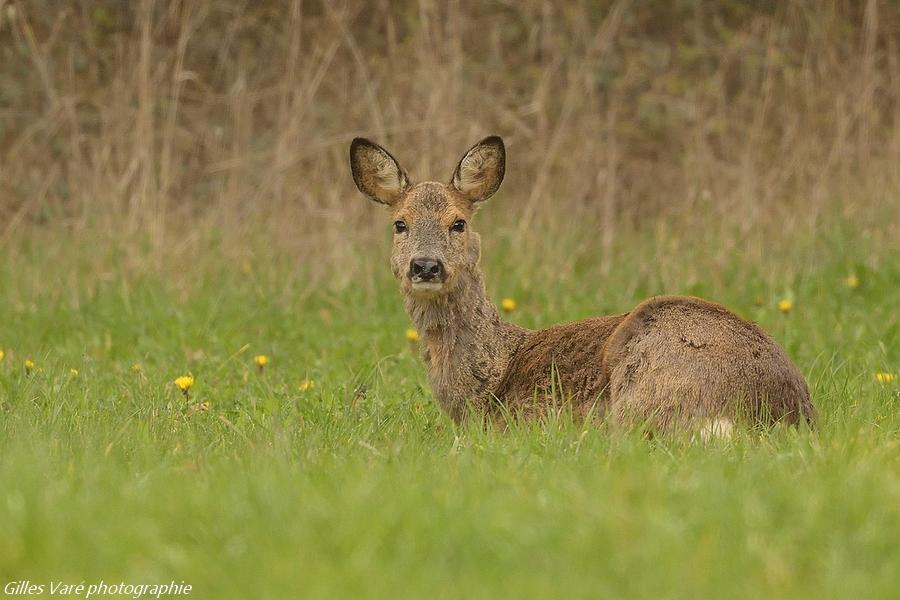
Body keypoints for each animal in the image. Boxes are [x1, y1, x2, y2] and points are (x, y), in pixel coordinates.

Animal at [350, 136, 816, 434]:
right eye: (400, 224)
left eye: (458, 223)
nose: (426, 266)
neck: (487, 385)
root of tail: (783, 411)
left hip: (648, 384)